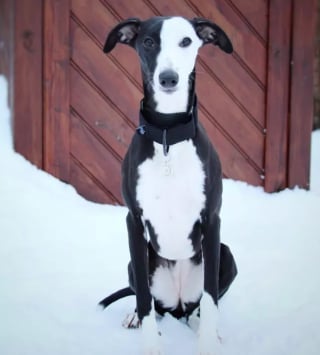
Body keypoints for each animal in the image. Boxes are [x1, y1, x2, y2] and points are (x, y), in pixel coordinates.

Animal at [100, 16, 238, 355]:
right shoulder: (134, 222)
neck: (167, 136)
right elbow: (144, 300)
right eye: (149, 42)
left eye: (186, 41)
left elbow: (211, 300)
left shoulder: (212, 219)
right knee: (151, 302)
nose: (168, 78)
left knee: (197, 308)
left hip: (226, 254)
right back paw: (135, 316)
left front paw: (208, 343)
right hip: (137, 262)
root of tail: (177, 304)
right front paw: (149, 342)